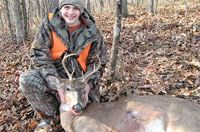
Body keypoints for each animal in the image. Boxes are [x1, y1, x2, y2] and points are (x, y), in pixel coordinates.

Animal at [46, 53, 200, 132]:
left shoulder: (94, 127)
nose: (77, 106)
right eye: (67, 88)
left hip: (180, 124)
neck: (72, 121)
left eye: (84, 90)